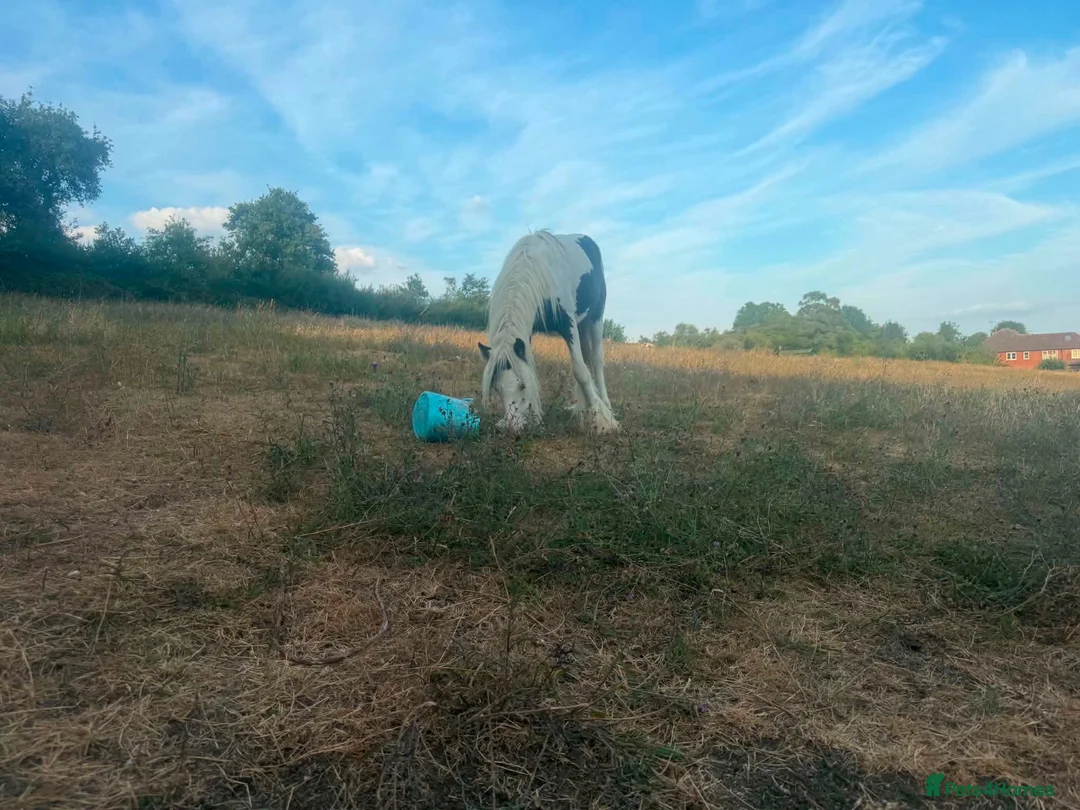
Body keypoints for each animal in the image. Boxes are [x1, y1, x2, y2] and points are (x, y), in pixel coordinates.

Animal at [478, 230, 619, 435]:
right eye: (497, 388)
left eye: (522, 385)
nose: (514, 427)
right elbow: (531, 366)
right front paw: (536, 418)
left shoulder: (568, 323)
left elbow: (580, 371)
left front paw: (602, 421)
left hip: (595, 318)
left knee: (596, 360)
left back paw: (605, 406)